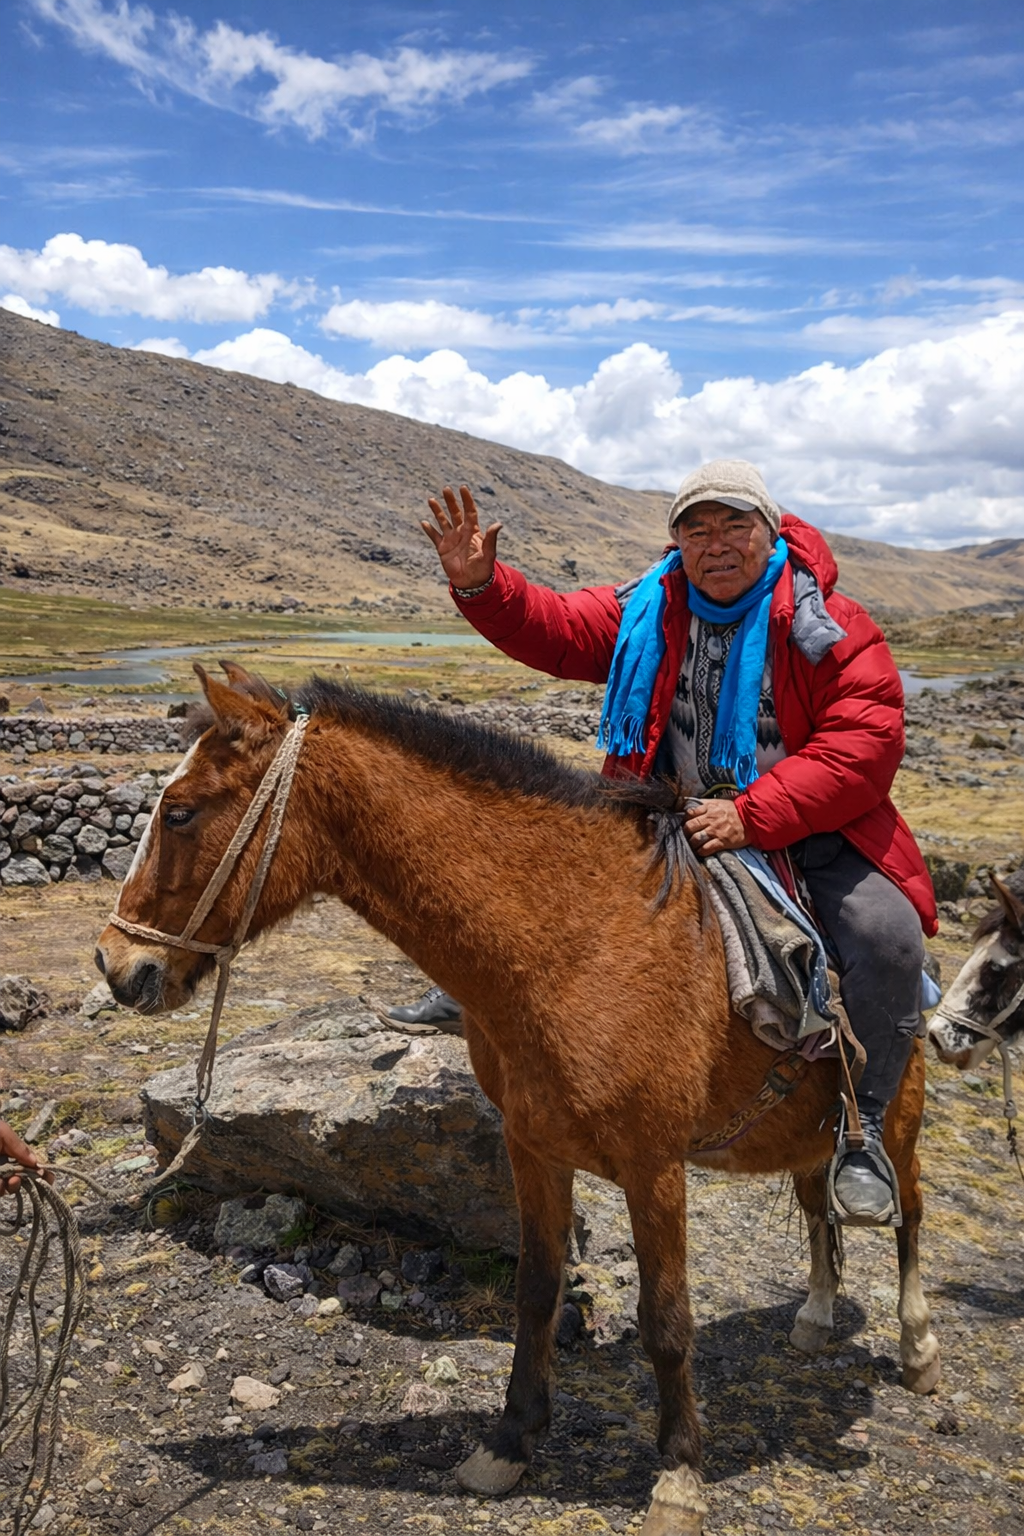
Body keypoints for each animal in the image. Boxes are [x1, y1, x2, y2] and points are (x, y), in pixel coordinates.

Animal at [95, 663, 940, 1536]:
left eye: (180, 811)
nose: (116, 965)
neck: (577, 942)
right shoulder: (533, 1145)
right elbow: (535, 1292)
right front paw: (509, 1442)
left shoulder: (653, 1165)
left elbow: (667, 1320)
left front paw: (678, 1475)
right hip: (806, 1134)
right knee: (815, 1209)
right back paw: (814, 1317)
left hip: (893, 1125)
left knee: (905, 1214)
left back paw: (917, 1350)